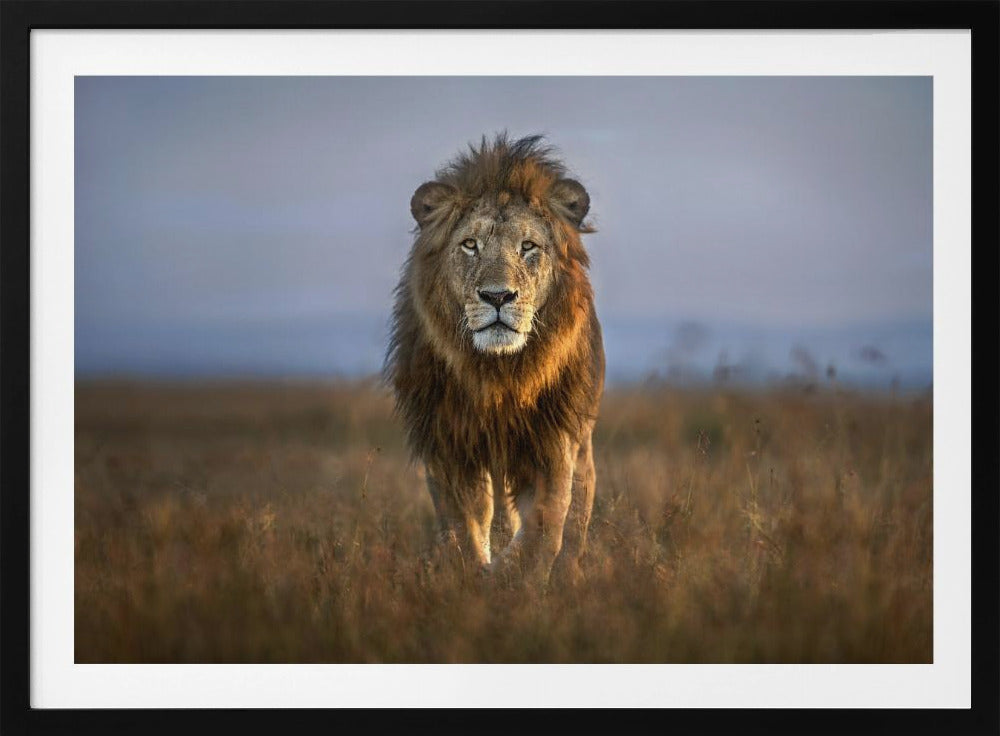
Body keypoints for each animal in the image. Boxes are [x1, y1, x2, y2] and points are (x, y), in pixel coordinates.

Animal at [385, 134, 604, 584]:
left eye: (528, 246)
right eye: (470, 245)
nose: (498, 296)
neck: (499, 373)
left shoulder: (553, 441)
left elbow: (545, 525)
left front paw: (515, 578)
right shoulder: (448, 444)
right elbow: (464, 525)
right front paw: (474, 575)